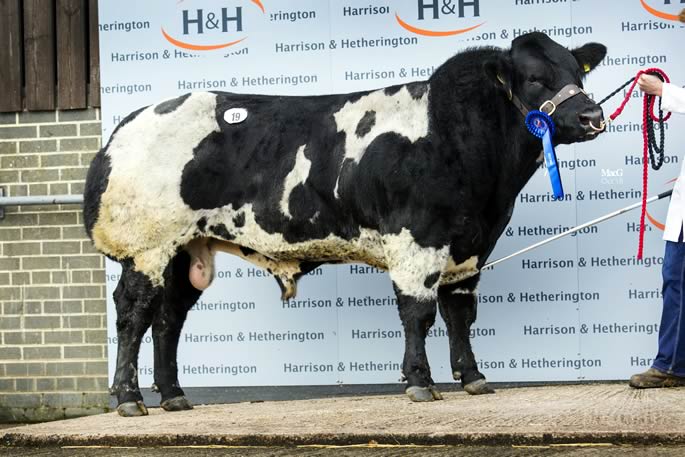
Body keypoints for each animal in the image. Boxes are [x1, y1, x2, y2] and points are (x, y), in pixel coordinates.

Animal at [84, 33, 604, 416]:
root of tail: (127, 126)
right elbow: (418, 313)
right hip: (147, 246)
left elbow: (460, 314)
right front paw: (420, 382)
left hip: (184, 249)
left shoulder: (471, 247)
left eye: (577, 72)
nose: (592, 115)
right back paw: (129, 399)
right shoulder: (417, 239)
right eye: (535, 78)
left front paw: (473, 377)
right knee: (134, 313)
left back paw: (174, 396)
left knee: (168, 317)